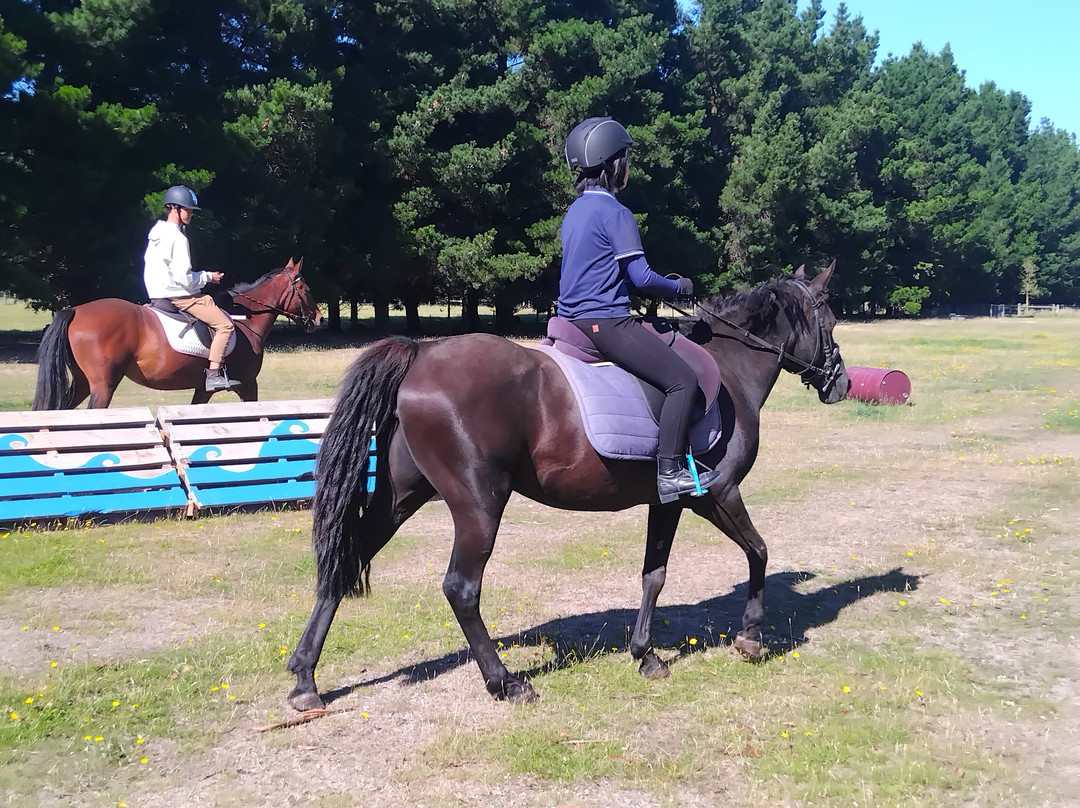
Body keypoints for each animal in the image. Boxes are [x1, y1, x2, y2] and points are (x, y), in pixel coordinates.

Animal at [32, 258, 321, 409]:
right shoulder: (249, 383)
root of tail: (76, 310)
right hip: (103, 385)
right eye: (306, 289)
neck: (245, 321)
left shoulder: (203, 389)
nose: (317, 318)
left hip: (82, 382)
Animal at [286, 263, 850, 710]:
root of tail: (420, 354)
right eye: (829, 317)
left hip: (403, 496)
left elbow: (654, 575)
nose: (841, 383)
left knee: (346, 560)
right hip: (478, 505)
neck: (729, 372)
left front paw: (646, 656)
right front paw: (751, 636)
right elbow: (758, 550)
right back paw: (506, 682)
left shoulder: (666, 502)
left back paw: (305, 679)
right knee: (461, 589)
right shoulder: (716, 494)